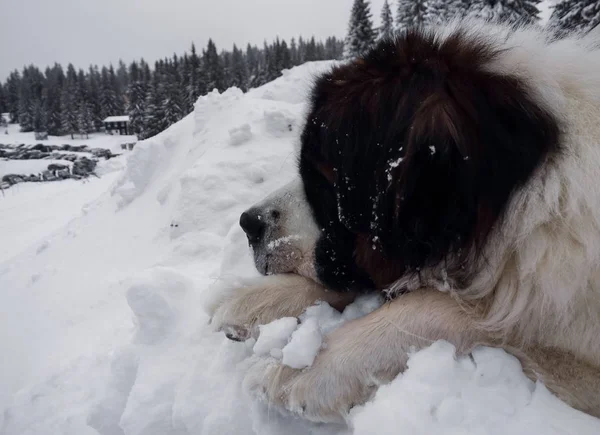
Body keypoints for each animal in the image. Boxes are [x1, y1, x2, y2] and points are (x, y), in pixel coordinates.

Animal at [209, 19, 600, 422]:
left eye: (320, 178)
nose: (249, 224)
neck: (538, 199)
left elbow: (450, 309)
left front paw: (306, 368)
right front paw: (254, 299)